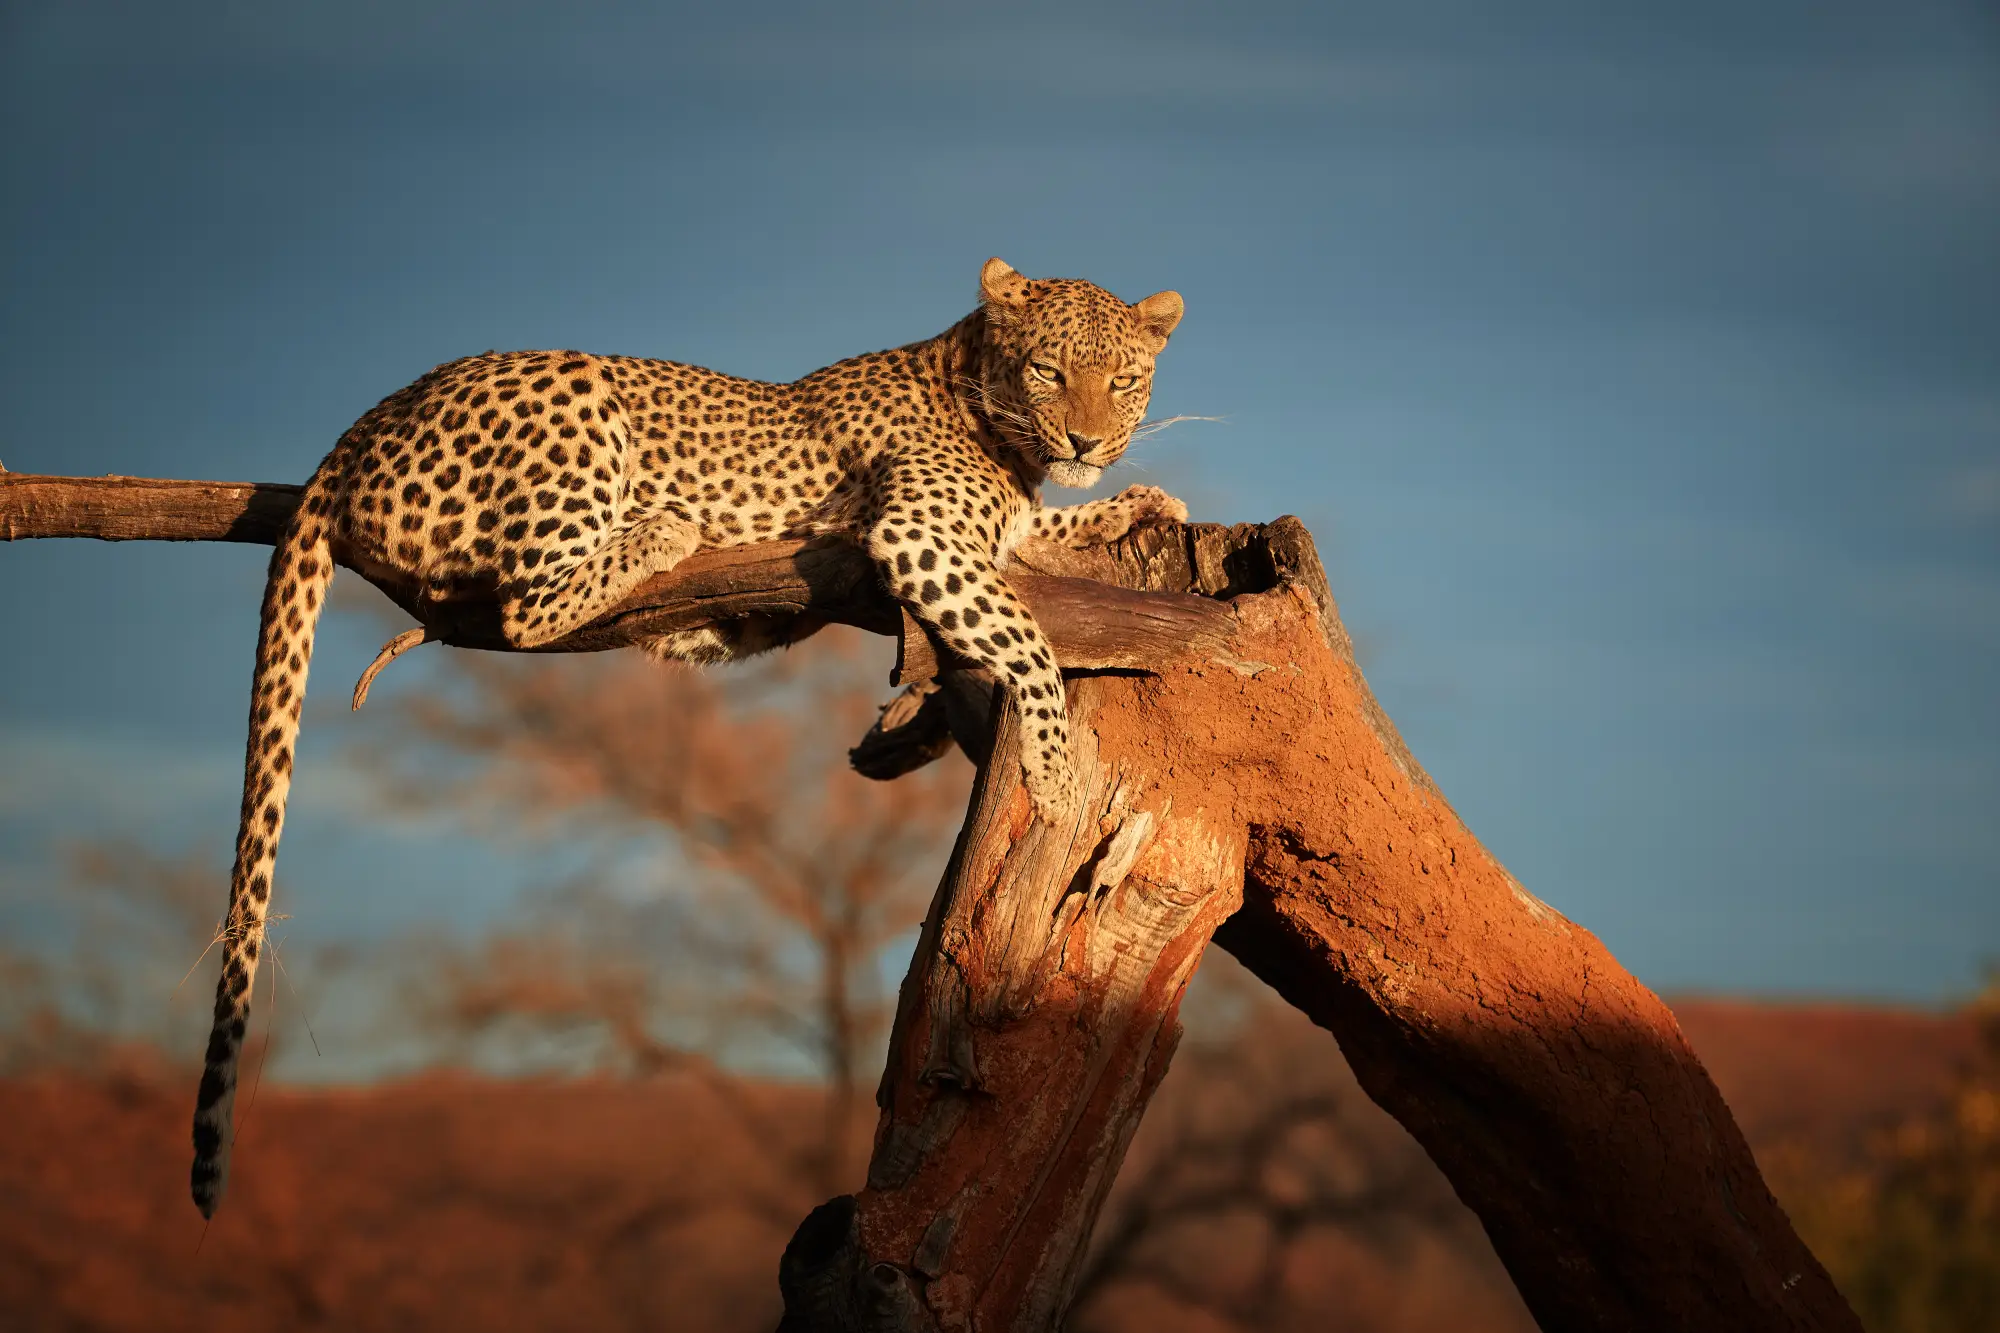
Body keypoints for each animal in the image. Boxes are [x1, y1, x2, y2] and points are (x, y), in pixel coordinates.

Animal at [188, 254, 1184, 1208]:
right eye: (1049, 370)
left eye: (1125, 379)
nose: (1088, 441)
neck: (985, 402)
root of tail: (362, 424)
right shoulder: (919, 533)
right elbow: (1030, 636)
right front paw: (1054, 772)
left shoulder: (994, 531)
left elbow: (1044, 532)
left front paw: (1139, 505)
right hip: (579, 404)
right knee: (523, 606)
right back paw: (662, 529)